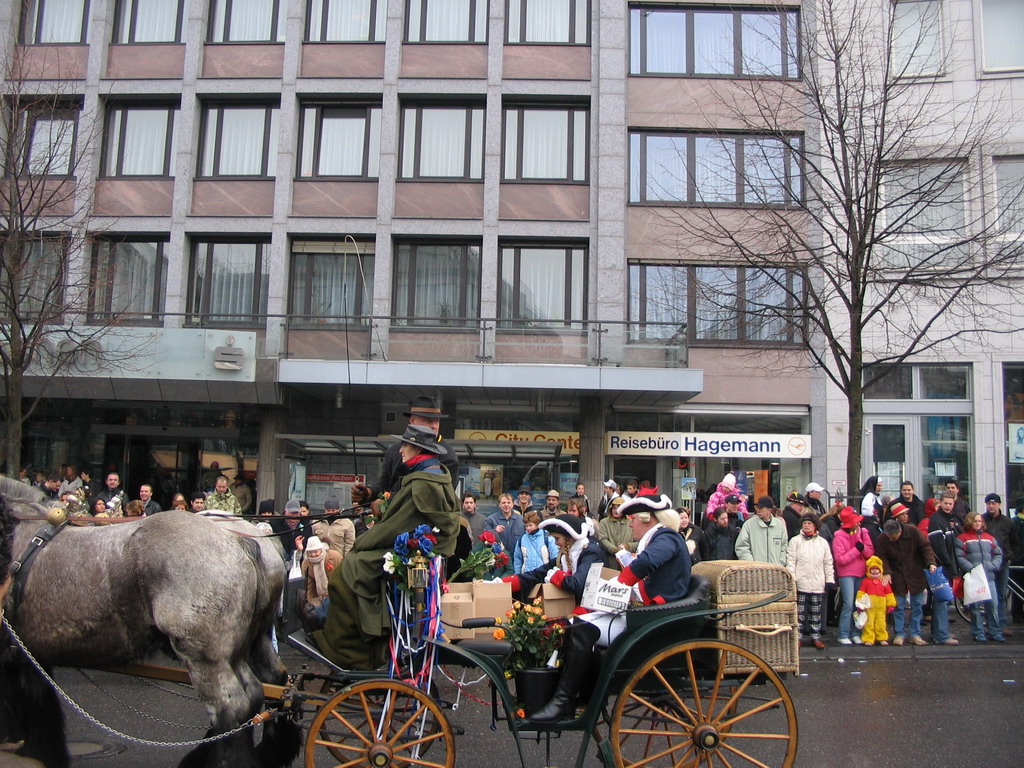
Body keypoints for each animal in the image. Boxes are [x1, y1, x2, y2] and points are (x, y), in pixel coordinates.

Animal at [1, 481, 299, 768]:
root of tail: (239, 540)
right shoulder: (29, 654)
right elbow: (40, 706)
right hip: (252, 641)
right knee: (271, 686)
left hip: (207, 657)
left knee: (233, 707)